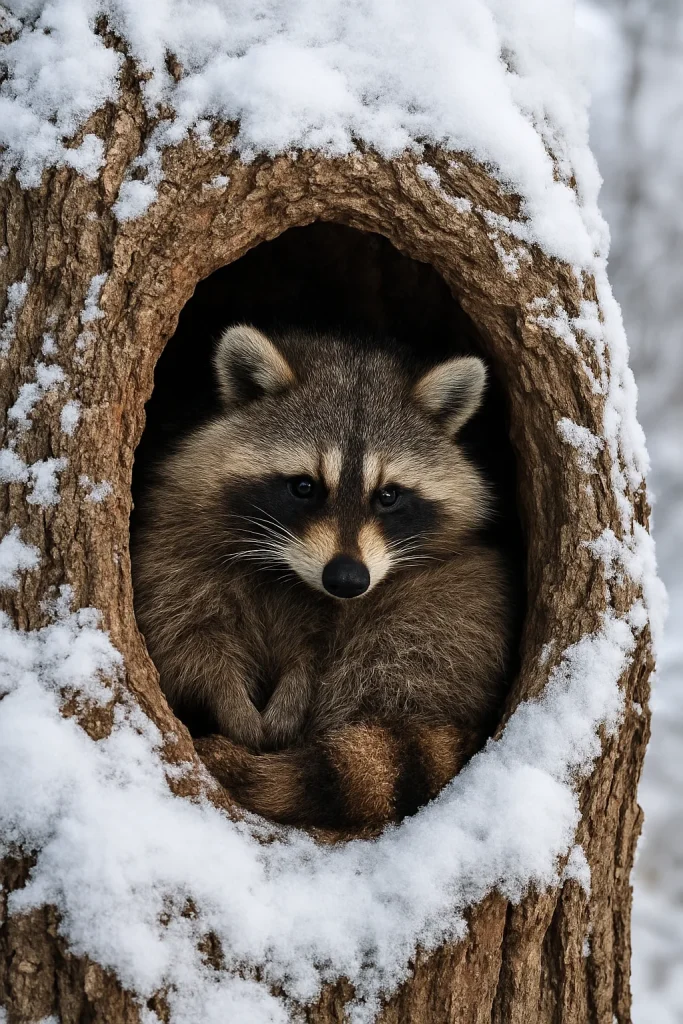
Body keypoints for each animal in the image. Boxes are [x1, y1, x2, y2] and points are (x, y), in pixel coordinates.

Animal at [132, 325, 514, 828]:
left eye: (388, 496)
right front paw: (225, 699)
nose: (348, 580)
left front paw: (293, 698)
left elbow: (318, 657)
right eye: (303, 487)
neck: (289, 573)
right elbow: (187, 633)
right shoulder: (172, 539)